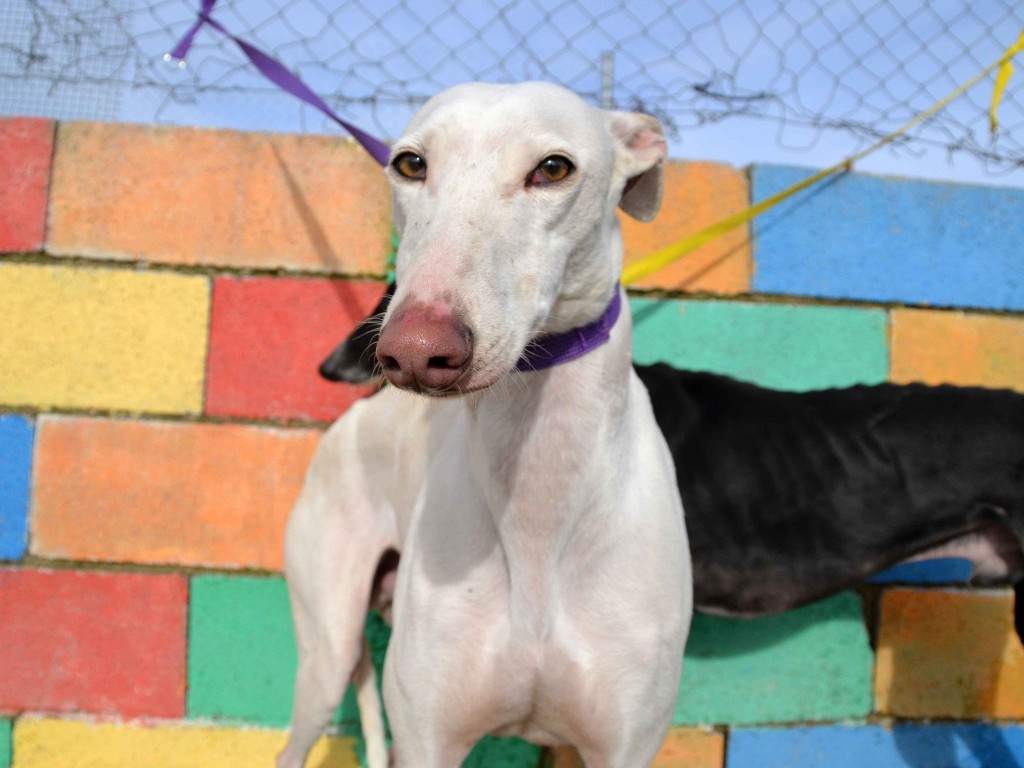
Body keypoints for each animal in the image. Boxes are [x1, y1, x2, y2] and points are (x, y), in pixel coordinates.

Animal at [276, 83, 692, 768]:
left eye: (553, 168)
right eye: (410, 164)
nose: (415, 351)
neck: (537, 512)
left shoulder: (624, 744)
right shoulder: (429, 739)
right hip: (326, 656)